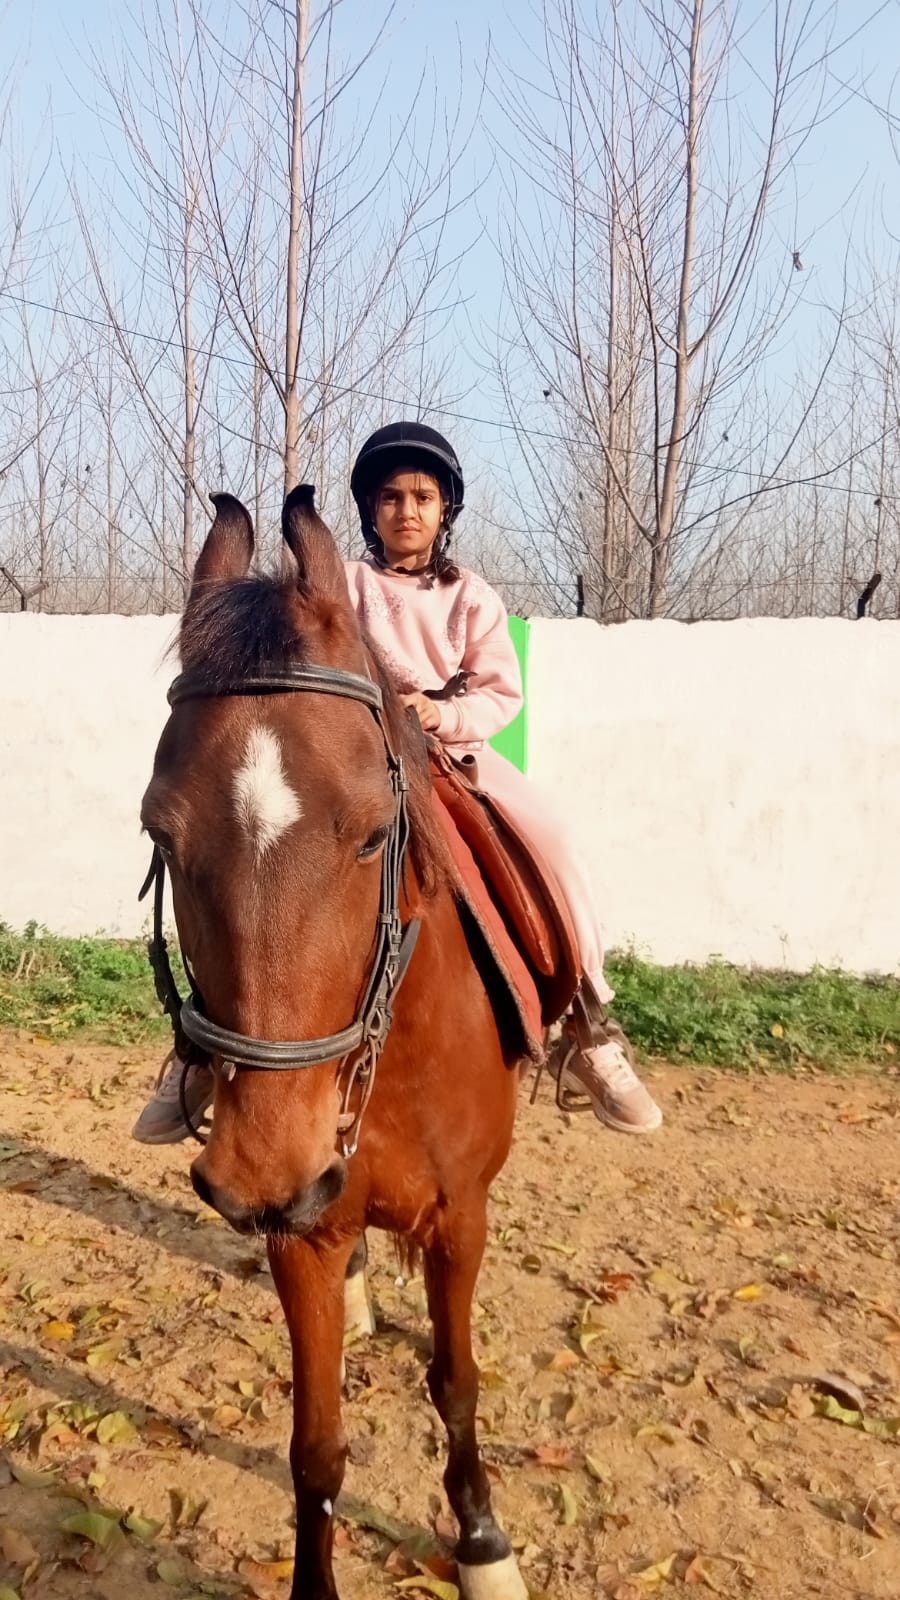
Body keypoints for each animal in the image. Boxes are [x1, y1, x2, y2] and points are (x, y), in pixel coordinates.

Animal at [140, 486, 532, 1600]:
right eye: (160, 832)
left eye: (370, 834)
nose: (264, 1166)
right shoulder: (297, 1235)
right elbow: (314, 1446)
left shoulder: (462, 1216)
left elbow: (455, 1378)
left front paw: (482, 1542)